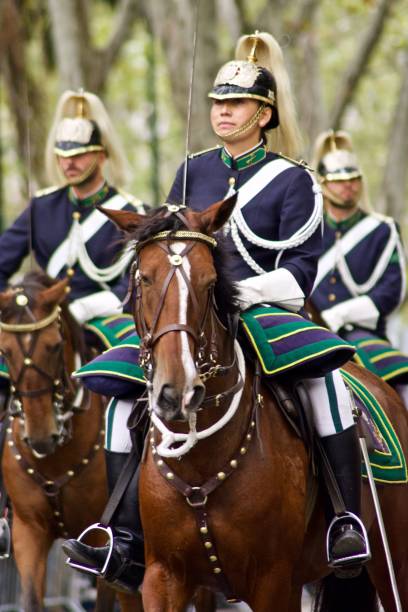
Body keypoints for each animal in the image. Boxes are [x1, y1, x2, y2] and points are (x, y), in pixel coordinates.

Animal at [0, 274, 125, 612]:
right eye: (4, 352)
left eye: (55, 346)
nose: (42, 436)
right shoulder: (28, 532)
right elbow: (31, 600)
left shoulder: (101, 544)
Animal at [104, 202, 408, 612]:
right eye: (144, 279)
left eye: (210, 282)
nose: (177, 391)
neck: (202, 459)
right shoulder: (162, 577)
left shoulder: (273, 582)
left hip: (393, 562)